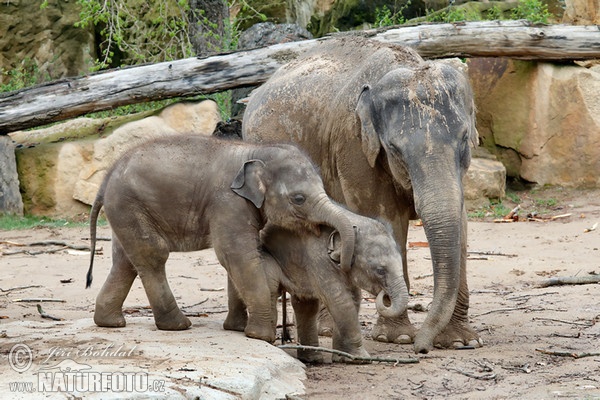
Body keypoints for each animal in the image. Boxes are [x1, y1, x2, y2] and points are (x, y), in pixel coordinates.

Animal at [84, 134, 356, 340]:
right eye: (299, 199)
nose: (339, 257)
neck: (254, 151)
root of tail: (106, 179)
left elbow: (240, 258)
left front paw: (236, 328)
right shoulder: (228, 202)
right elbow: (236, 255)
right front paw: (259, 336)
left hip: (126, 211)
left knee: (125, 261)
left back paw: (110, 322)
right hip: (129, 205)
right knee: (152, 255)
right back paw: (178, 325)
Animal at [258, 214, 408, 364]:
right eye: (380, 271)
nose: (384, 294)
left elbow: (354, 299)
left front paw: (343, 358)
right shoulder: (319, 260)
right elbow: (341, 300)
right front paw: (360, 359)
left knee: (306, 304)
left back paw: (313, 359)